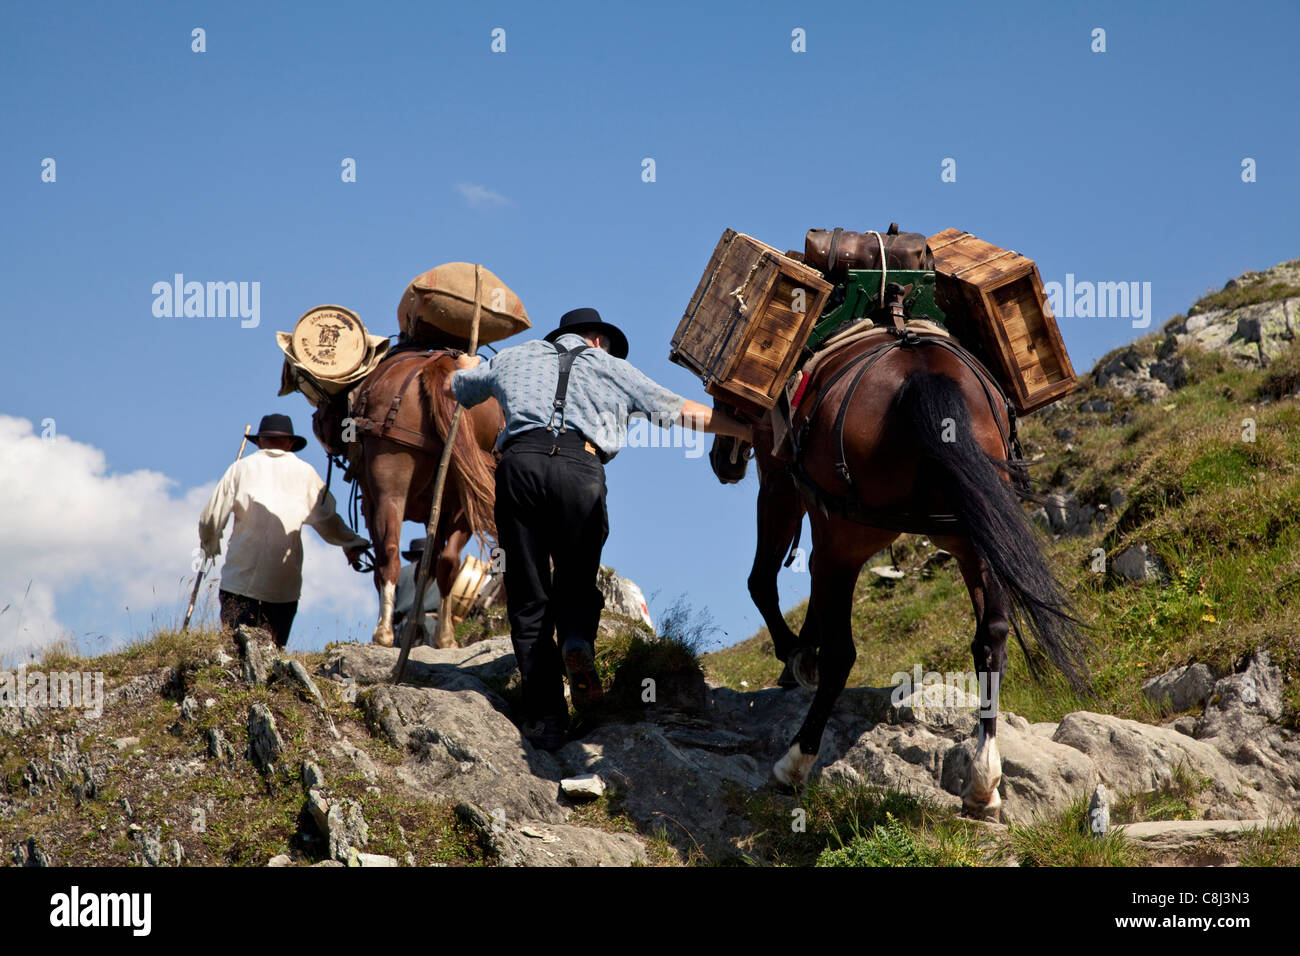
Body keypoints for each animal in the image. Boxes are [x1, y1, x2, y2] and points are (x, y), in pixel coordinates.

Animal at [335, 348, 501, 650]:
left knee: (389, 555)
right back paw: (445, 637)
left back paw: (385, 634)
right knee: (448, 561)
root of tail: (441, 363)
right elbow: (427, 567)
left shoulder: (369, 504)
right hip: (466, 497)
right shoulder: (437, 515)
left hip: (390, 490)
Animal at [712, 330, 1086, 822]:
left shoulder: (779, 484)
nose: (723, 462)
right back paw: (983, 782)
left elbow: (761, 582)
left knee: (843, 652)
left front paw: (794, 656)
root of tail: (921, 374)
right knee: (992, 638)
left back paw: (794, 763)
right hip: (977, 532)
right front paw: (802, 653)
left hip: (847, 537)